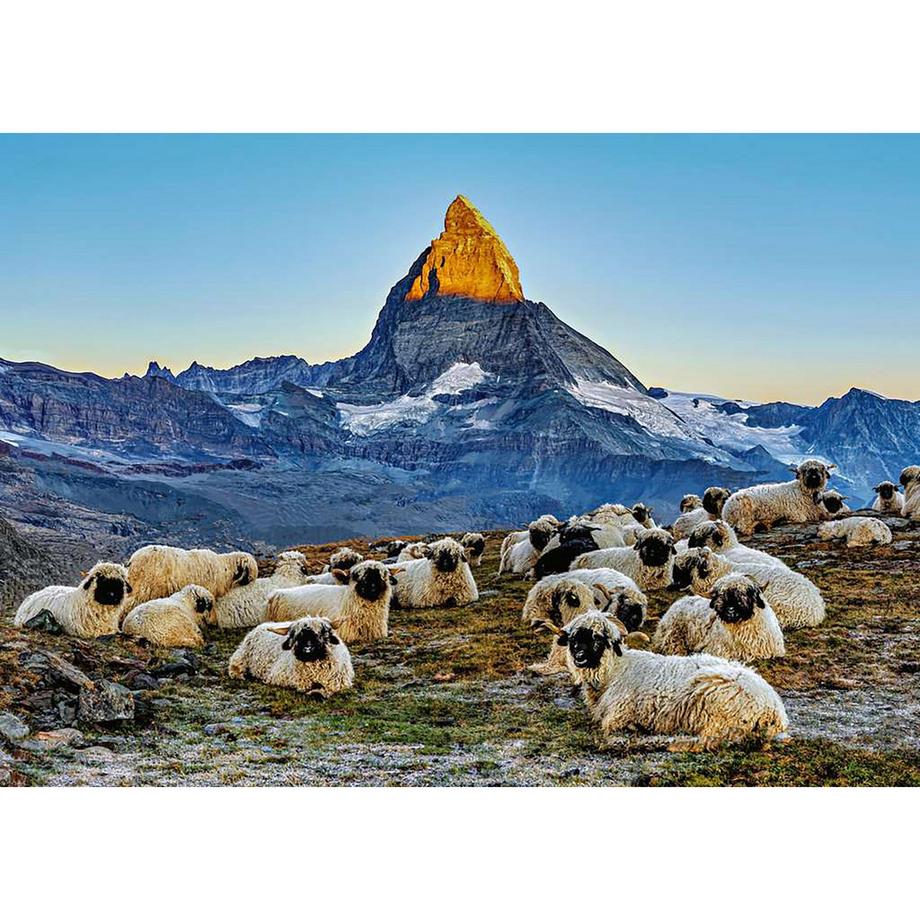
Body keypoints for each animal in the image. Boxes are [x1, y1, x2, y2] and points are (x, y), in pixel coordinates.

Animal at [556, 611, 788, 746]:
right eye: (574, 638)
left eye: (598, 638)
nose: (579, 656)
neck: (615, 671)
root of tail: (774, 708)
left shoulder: (618, 715)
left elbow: (610, 726)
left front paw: (635, 727)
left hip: (718, 707)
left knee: (713, 739)